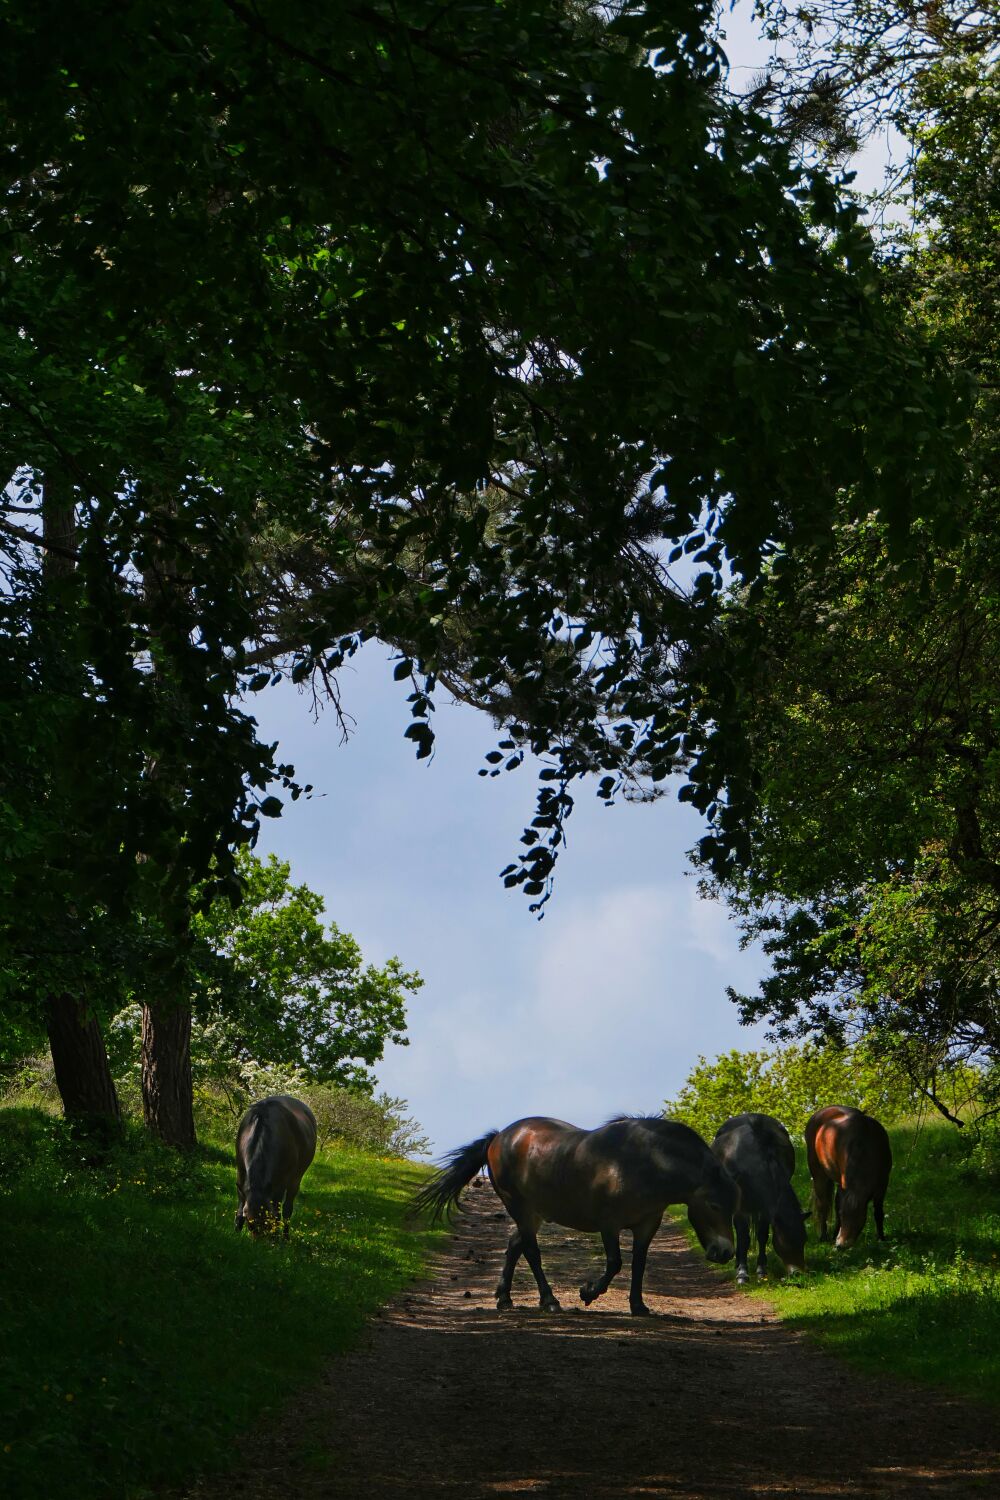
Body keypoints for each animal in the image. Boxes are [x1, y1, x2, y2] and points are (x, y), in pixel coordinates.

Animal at [235, 1098, 316, 1236]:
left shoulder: (280, 1184)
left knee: (287, 1209)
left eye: (268, 1221)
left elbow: (278, 1210)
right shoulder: (241, 1175)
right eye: (250, 1223)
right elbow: (240, 1207)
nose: (261, 1240)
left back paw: (285, 1236)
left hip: (296, 1179)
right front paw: (235, 1233)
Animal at [413, 1116, 734, 1314]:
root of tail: (499, 1137)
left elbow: (639, 1264)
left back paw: (504, 1298)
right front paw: (588, 1292)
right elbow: (615, 1263)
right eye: (714, 1205)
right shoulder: (609, 1224)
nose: (725, 1253)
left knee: (515, 1246)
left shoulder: (647, 1225)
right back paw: (549, 1301)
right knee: (531, 1251)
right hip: (520, 1207)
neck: (643, 1161)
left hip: (534, 1213)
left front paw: (638, 1306)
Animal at [716, 1110, 809, 1284]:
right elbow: (743, 1237)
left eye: (804, 1239)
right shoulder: (741, 1207)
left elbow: (762, 1235)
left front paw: (761, 1271)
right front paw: (742, 1273)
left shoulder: (766, 1208)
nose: (798, 1273)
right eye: (784, 1241)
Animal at [803, 1110, 893, 1248]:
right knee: (823, 1206)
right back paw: (824, 1237)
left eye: (860, 1216)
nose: (840, 1245)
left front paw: (881, 1238)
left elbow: (878, 1212)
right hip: (819, 1176)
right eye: (842, 1214)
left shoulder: (882, 1186)